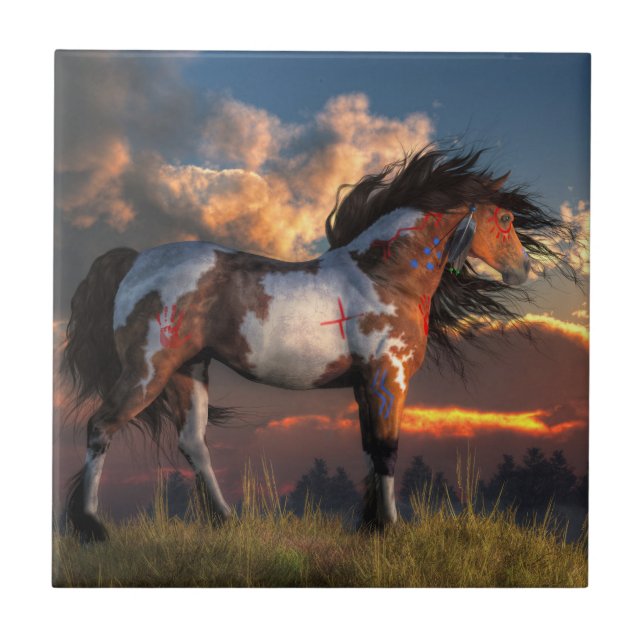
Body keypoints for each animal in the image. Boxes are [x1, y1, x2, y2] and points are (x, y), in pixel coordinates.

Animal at [62, 147, 571, 542]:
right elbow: (388, 448)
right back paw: (91, 526)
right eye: (504, 218)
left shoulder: (366, 385)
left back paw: (227, 520)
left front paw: (370, 524)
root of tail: (134, 261)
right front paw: (390, 527)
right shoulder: (389, 377)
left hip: (191, 372)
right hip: (148, 372)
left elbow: (370, 448)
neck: (384, 276)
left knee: (193, 444)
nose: (522, 269)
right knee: (101, 427)